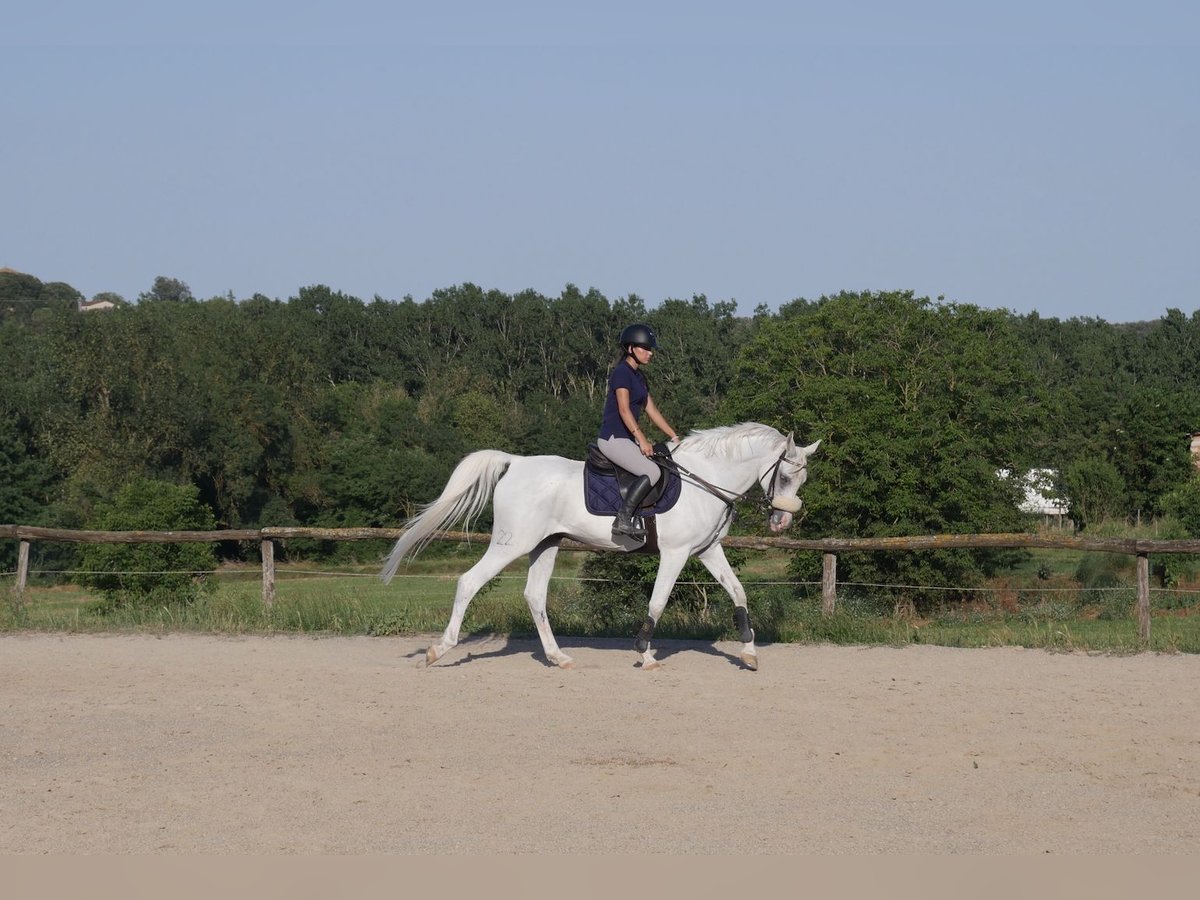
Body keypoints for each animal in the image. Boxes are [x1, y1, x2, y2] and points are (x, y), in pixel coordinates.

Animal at [379, 422, 820, 672]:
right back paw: (439, 650)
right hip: (512, 543)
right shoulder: (676, 554)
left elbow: (738, 592)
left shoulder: (707, 551)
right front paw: (644, 653)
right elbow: (658, 601)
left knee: (534, 595)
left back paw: (557, 657)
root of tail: (516, 462)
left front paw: (749, 652)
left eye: (802, 480)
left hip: (545, 545)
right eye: (785, 477)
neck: (706, 480)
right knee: (469, 583)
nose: (781, 522)